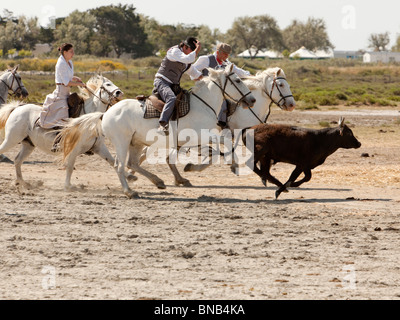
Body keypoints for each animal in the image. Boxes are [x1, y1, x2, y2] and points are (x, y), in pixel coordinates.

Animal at [58, 63, 256, 196]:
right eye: (238, 80)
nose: (252, 100)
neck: (202, 104)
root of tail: (105, 113)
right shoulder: (198, 137)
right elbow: (221, 146)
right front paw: (202, 167)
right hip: (122, 142)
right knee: (119, 165)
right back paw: (129, 191)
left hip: (135, 143)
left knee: (132, 163)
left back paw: (157, 181)